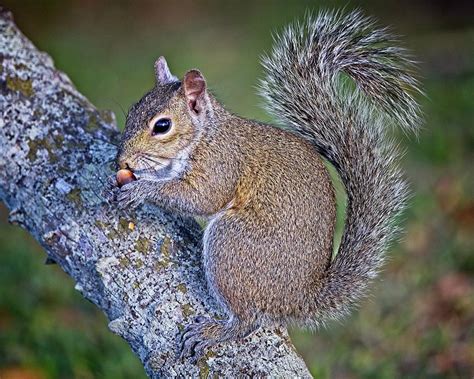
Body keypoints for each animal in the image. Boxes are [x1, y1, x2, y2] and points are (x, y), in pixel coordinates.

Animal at [111, 9, 422, 360]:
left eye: (162, 126)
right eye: (132, 110)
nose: (122, 159)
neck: (206, 134)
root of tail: (297, 300)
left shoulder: (221, 165)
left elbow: (201, 198)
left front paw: (141, 189)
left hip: (232, 244)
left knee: (247, 321)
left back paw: (217, 331)